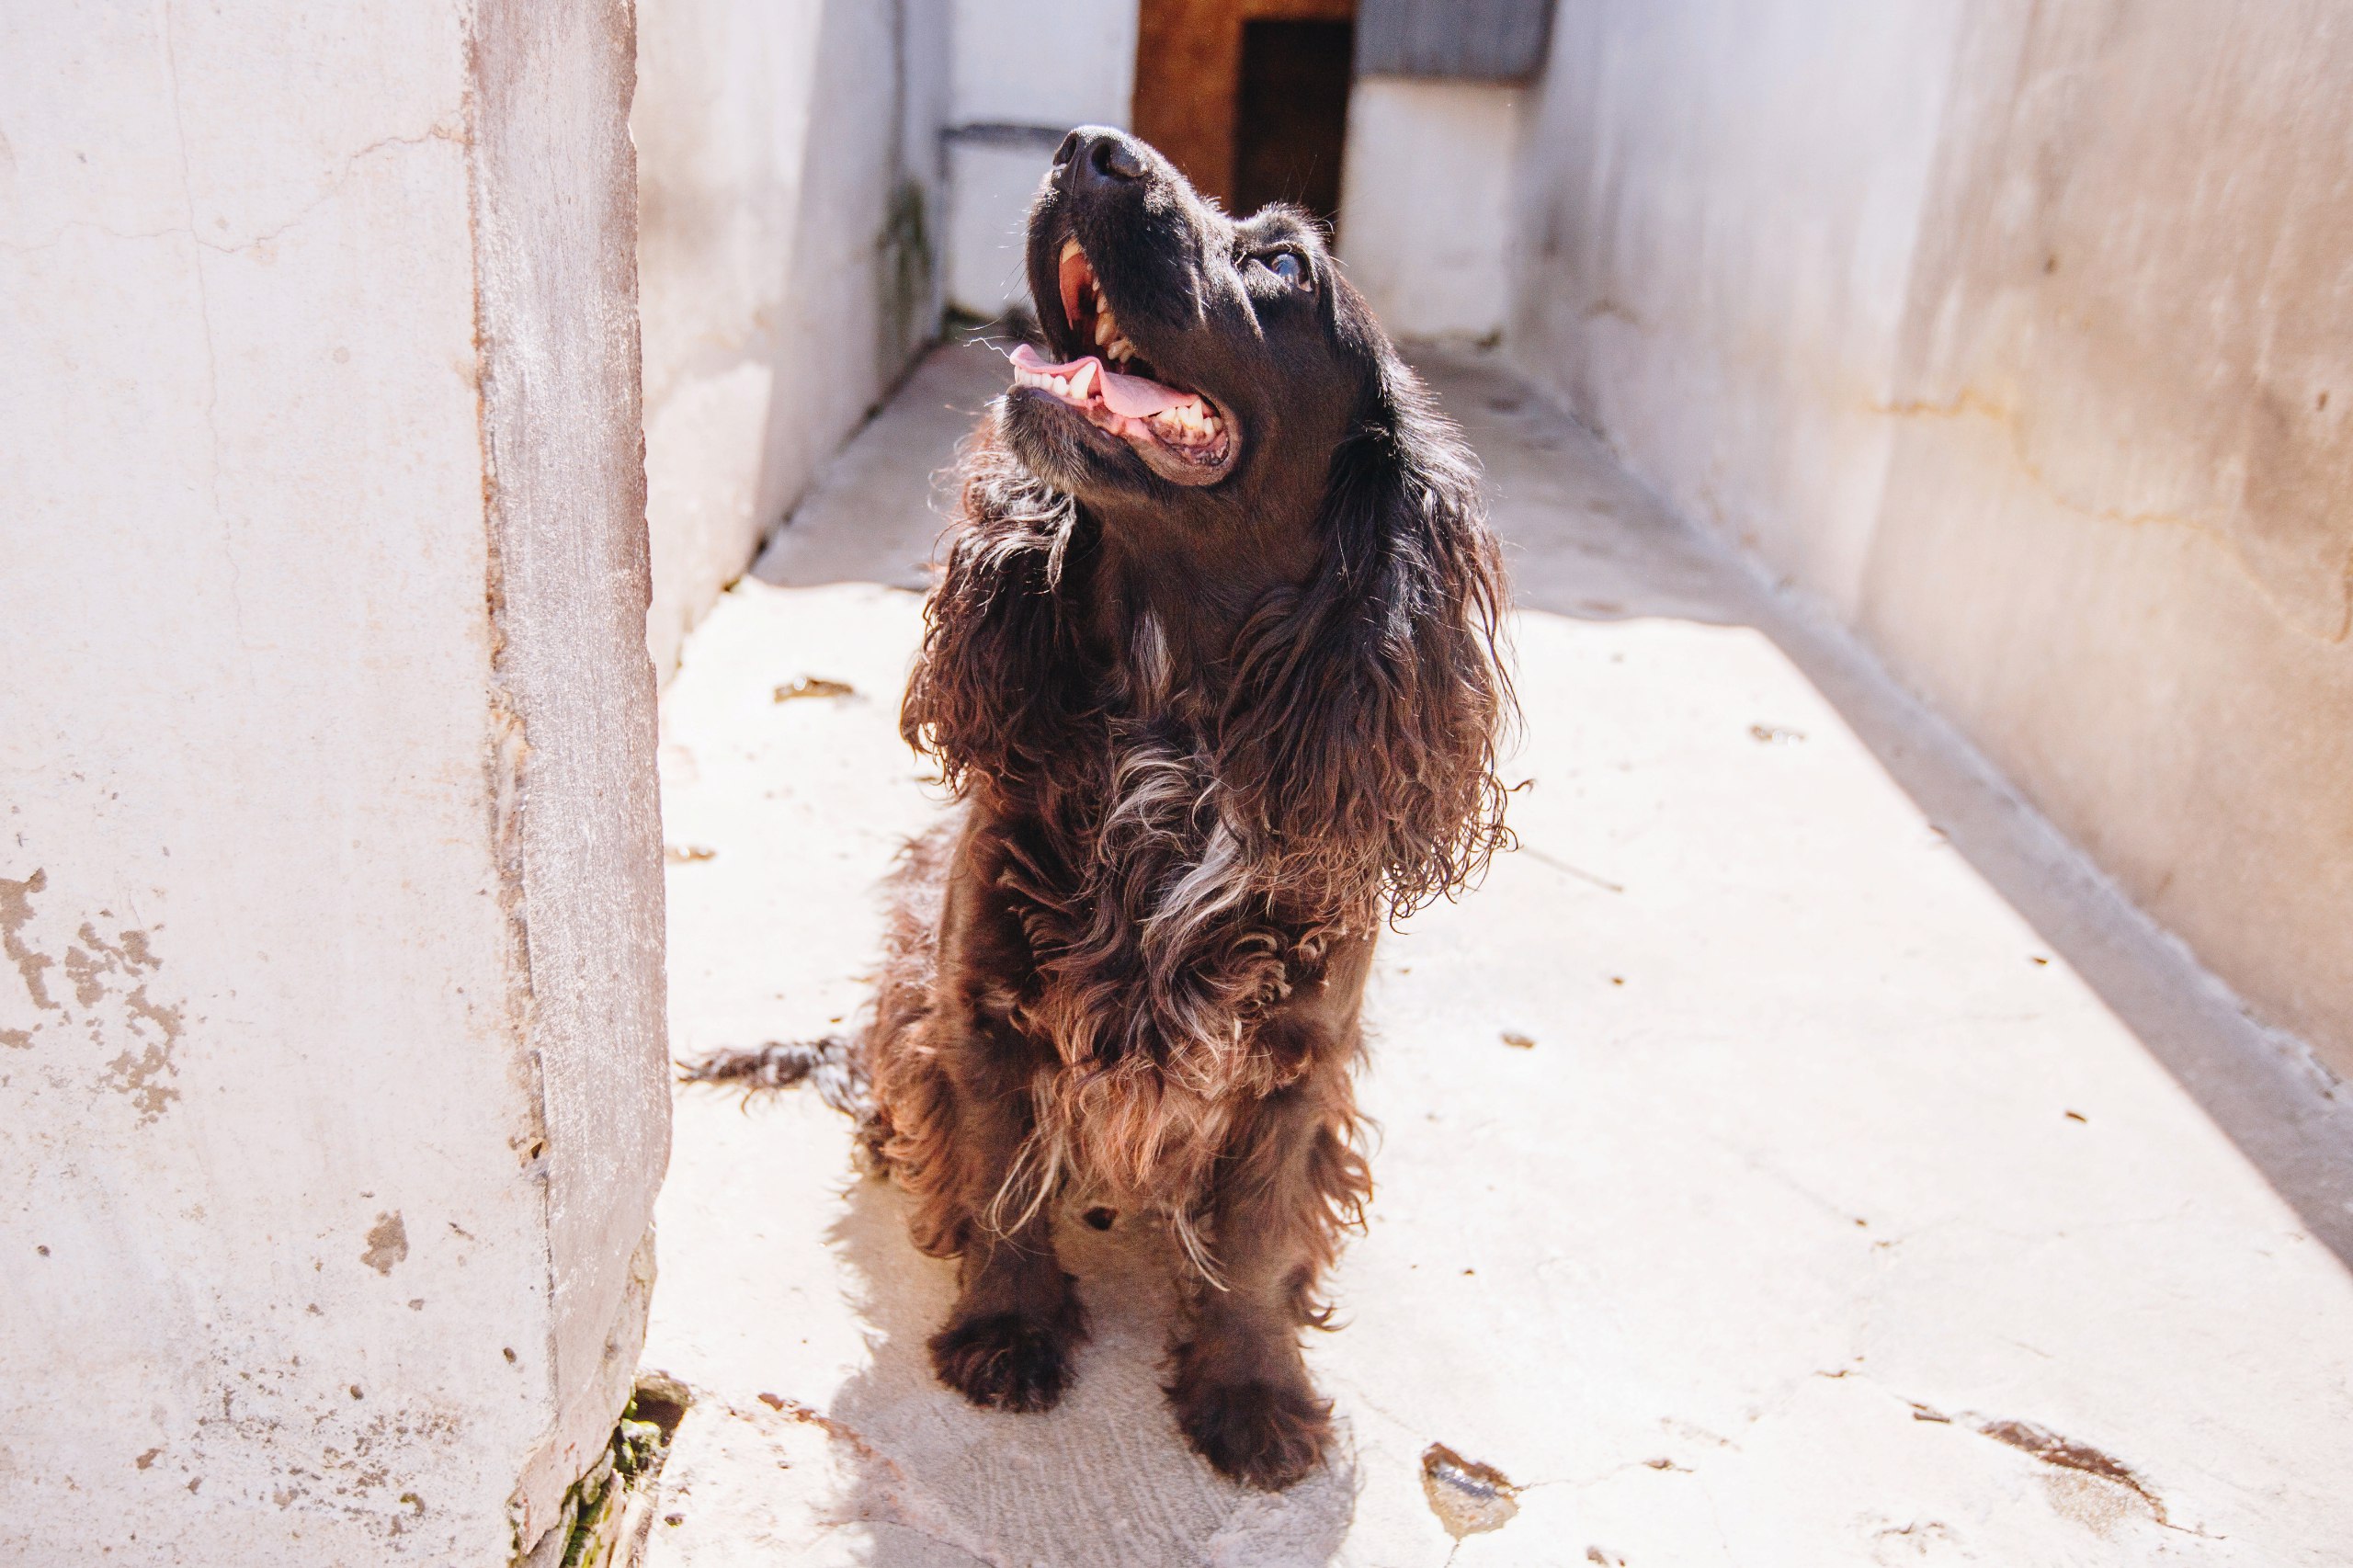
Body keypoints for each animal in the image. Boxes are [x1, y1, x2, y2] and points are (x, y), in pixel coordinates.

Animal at [687, 128, 1515, 1487]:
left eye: (1284, 266)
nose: (1088, 147)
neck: (1170, 715)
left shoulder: (1295, 1069)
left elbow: (1254, 1244)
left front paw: (1251, 1390)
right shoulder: (981, 1010)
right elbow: (1003, 1183)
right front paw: (1007, 1330)